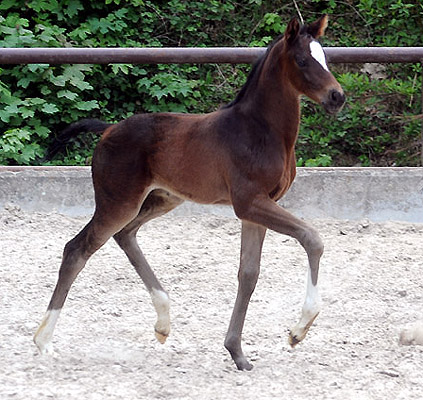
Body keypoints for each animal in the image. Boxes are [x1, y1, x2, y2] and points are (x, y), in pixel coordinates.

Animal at [34, 16, 346, 372]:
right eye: (302, 60)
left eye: (325, 58)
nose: (337, 97)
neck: (260, 131)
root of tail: (108, 129)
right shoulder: (249, 203)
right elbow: (312, 238)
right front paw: (298, 331)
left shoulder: (258, 208)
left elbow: (248, 274)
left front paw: (237, 352)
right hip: (118, 202)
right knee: (77, 249)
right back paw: (43, 339)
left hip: (161, 199)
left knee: (125, 235)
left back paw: (163, 323)